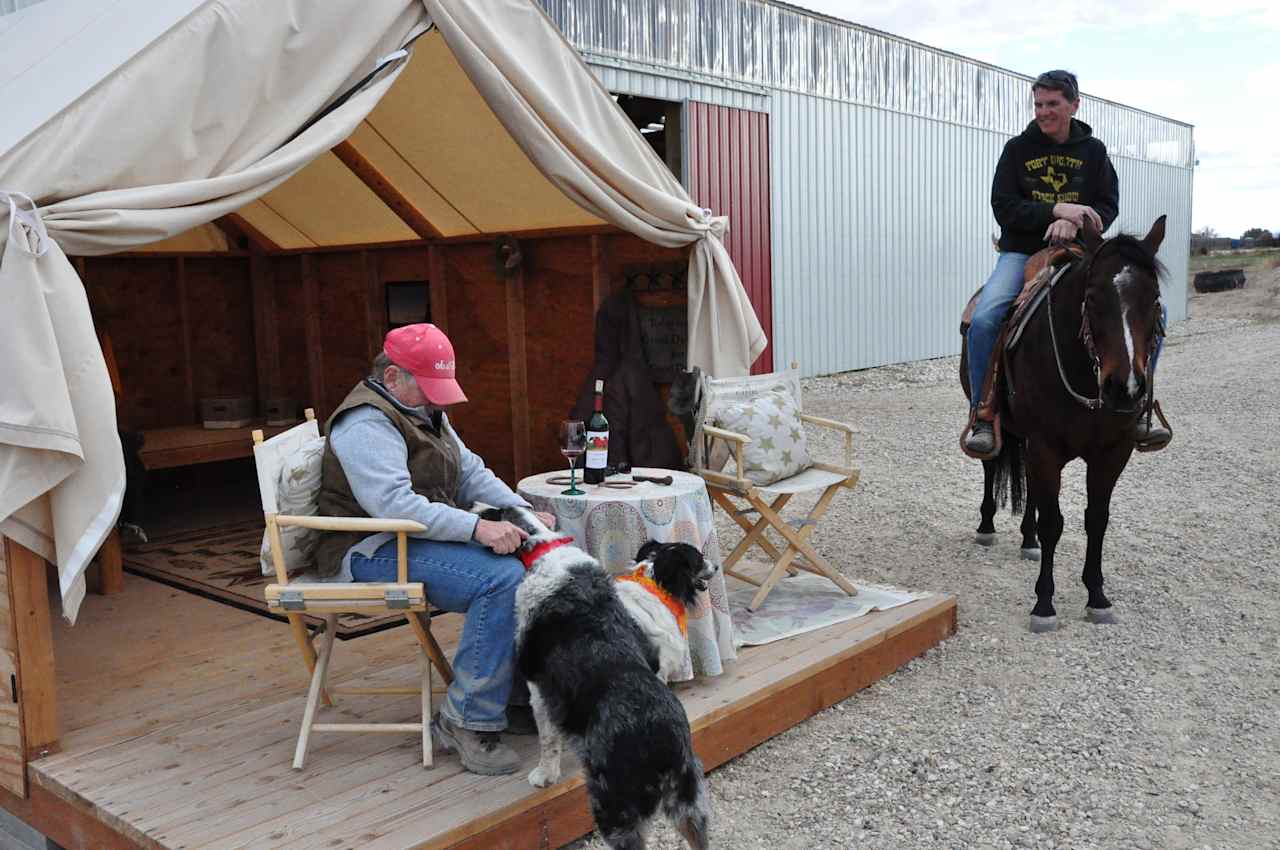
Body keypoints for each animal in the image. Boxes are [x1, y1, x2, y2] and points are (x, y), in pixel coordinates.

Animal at [483, 506, 716, 844]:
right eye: (698, 558)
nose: (714, 565)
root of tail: (664, 737)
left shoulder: (540, 687)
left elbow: (548, 740)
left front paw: (544, 776)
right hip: (687, 804)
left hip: (615, 807)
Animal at [962, 216, 1172, 629]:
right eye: (1092, 297)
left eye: (1154, 299)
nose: (1125, 388)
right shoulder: (1046, 447)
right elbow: (1053, 523)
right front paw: (1044, 604)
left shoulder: (1112, 452)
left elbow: (1096, 520)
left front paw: (1097, 597)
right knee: (992, 465)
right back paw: (987, 527)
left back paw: (1028, 540)